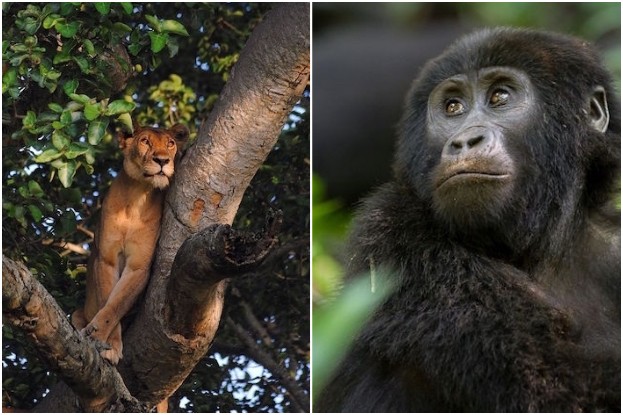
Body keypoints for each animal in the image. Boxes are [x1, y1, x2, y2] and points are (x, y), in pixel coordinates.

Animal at [73, 122, 188, 364]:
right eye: (145, 141)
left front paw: (99, 338)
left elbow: (115, 306)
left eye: (170, 143)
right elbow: (108, 303)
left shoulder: (138, 266)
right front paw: (109, 345)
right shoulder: (107, 260)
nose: (162, 161)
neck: (137, 196)